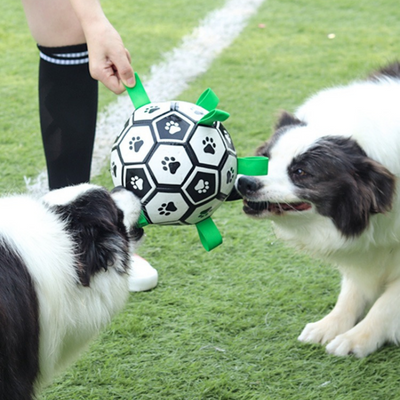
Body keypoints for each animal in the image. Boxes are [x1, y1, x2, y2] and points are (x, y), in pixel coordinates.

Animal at [236, 63, 400, 360]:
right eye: (265, 158)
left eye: (301, 172)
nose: (244, 182)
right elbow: (353, 287)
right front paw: (330, 325)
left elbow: (388, 303)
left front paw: (356, 338)